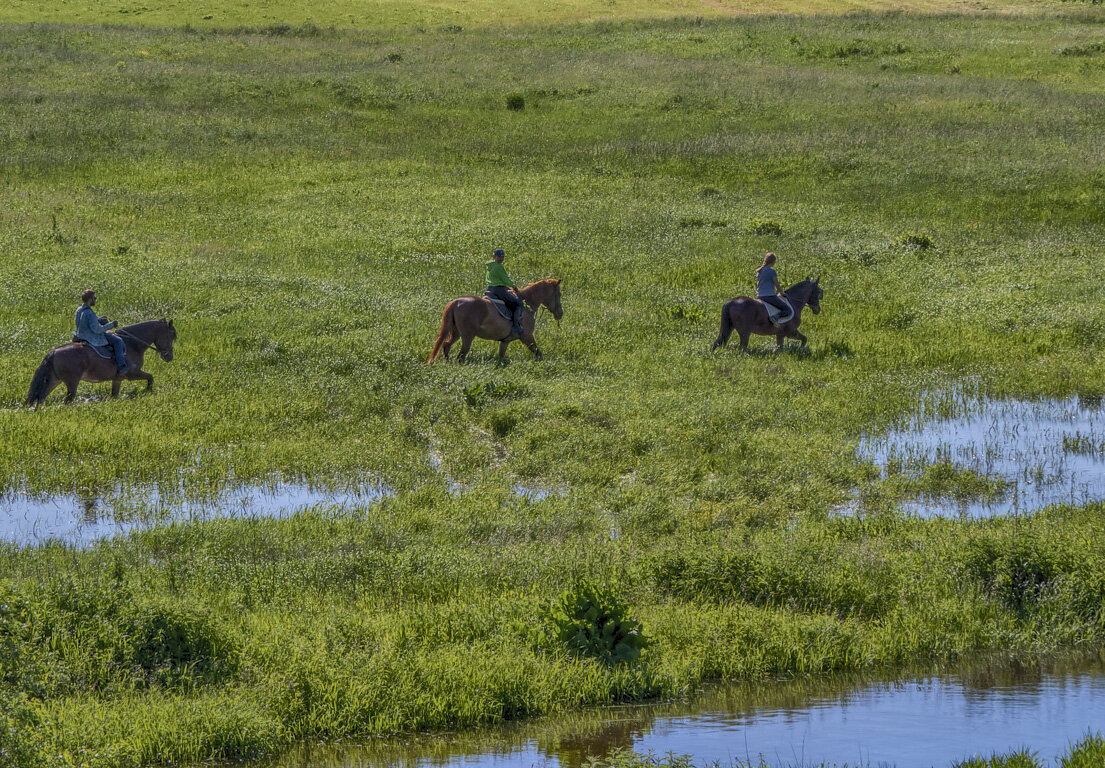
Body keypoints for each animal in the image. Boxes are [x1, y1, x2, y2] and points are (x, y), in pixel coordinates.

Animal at [25, 320, 175, 408]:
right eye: (172, 335)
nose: (169, 357)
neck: (133, 344)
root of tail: (54, 352)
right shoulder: (132, 374)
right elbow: (150, 377)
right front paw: (148, 390)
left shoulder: (117, 379)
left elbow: (114, 394)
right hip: (71, 382)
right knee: (67, 401)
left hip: (54, 380)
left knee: (41, 397)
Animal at [422, 280, 561, 364]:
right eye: (559, 294)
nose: (560, 314)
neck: (527, 306)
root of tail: (456, 302)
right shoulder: (527, 337)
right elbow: (538, 352)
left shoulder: (505, 341)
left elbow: (501, 356)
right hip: (467, 336)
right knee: (461, 355)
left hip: (456, 333)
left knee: (446, 345)